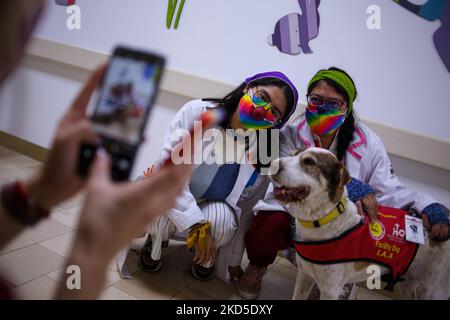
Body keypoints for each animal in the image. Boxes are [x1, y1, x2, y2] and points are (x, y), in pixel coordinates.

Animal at [268, 148, 448, 300]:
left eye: (309, 162)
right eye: (291, 154)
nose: (271, 165)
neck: (321, 220)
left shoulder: (331, 290)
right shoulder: (304, 277)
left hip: (432, 292)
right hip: (410, 286)